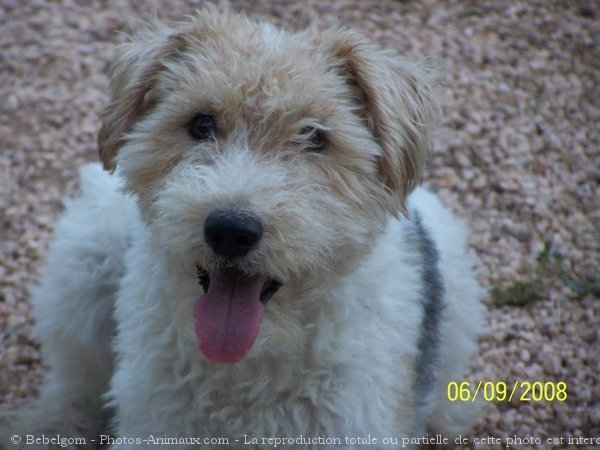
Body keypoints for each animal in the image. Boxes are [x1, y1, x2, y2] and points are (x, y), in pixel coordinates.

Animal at [1, 7, 482, 450]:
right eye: (201, 124)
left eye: (315, 137)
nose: (231, 230)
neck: (248, 367)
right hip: (84, 267)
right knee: (73, 383)